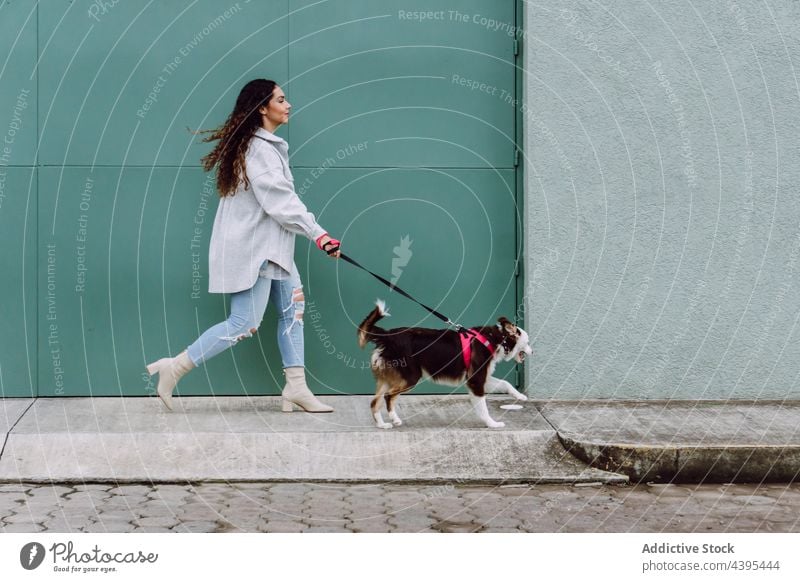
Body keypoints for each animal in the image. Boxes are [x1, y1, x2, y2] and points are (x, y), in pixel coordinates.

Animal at [356, 302, 532, 428]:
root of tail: (388, 336)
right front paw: (492, 423)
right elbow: (483, 407)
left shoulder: (482, 378)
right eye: (528, 342)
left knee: (374, 402)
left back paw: (382, 425)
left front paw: (520, 396)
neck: (495, 338)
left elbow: (505, 383)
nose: (533, 351)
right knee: (388, 396)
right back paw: (395, 419)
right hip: (410, 377)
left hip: (388, 377)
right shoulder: (476, 381)